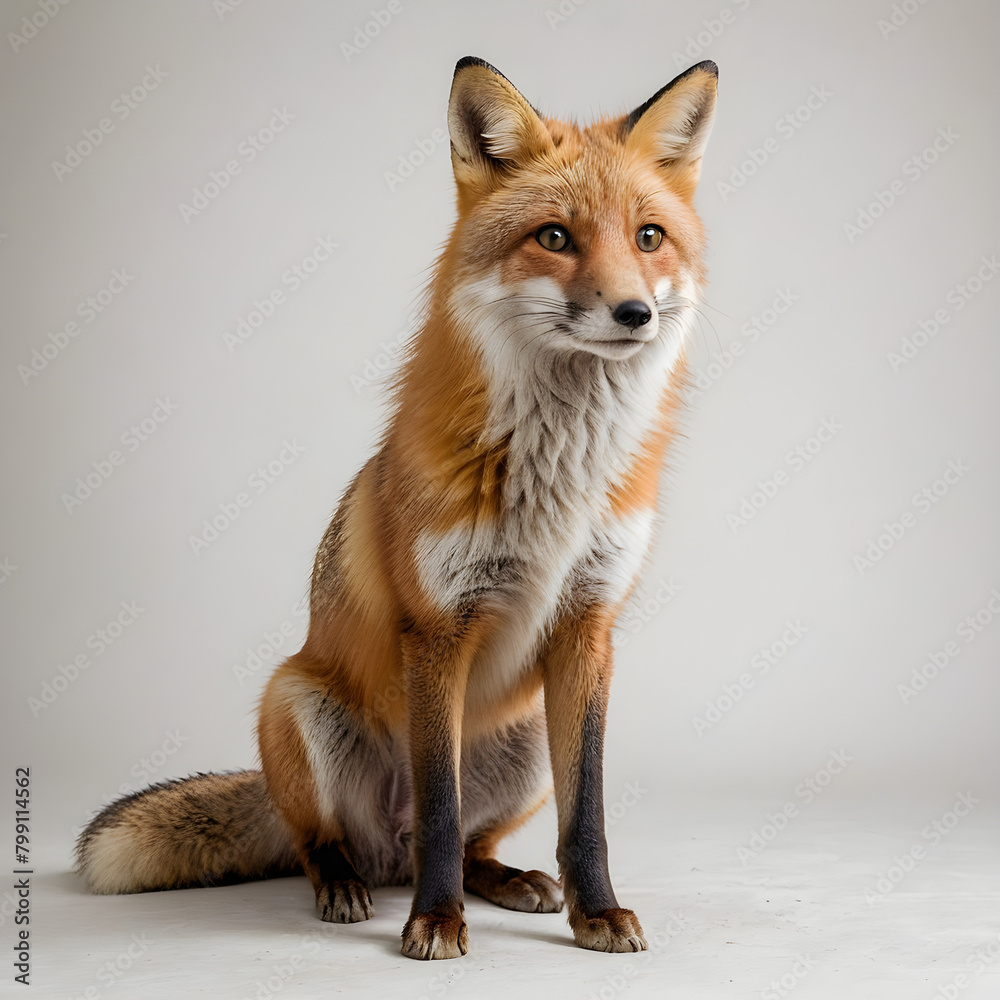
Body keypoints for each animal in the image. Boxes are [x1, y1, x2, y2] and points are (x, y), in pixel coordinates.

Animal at [75, 55, 719, 961]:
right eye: (554, 237)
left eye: (649, 238)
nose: (635, 314)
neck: (557, 476)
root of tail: (385, 849)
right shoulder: (438, 628)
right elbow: (441, 807)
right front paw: (434, 923)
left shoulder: (589, 628)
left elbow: (583, 812)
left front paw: (598, 913)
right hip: (296, 702)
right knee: (347, 838)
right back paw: (347, 884)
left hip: (525, 740)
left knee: (469, 841)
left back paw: (507, 880)